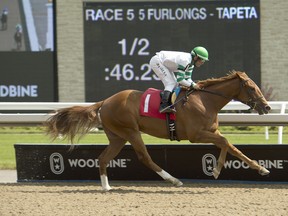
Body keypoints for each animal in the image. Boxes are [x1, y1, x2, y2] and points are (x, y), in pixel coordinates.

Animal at [46, 71, 272, 192]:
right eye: (251, 88)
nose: (267, 107)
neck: (205, 100)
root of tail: (105, 101)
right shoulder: (196, 135)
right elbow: (225, 143)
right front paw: (216, 170)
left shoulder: (210, 132)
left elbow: (232, 147)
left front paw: (261, 168)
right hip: (131, 132)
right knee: (144, 157)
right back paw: (173, 179)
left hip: (117, 137)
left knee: (103, 158)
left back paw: (106, 187)